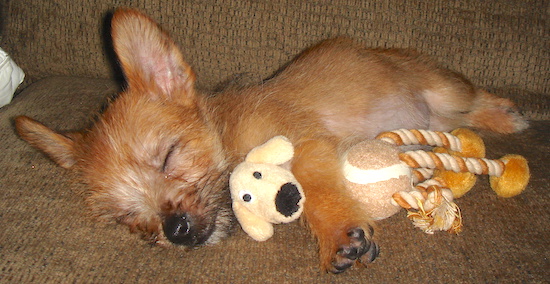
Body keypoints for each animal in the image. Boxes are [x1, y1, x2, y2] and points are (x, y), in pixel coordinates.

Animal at [14, 10, 532, 274]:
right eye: (126, 218)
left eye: (168, 157)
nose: (175, 230)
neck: (227, 135)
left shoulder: (304, 145)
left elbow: (320, 192)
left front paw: (339, 236)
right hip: (437, 111)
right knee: (458, 117)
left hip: (439, 84)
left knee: (472, 98)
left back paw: (508, 115)